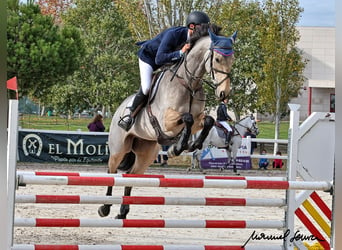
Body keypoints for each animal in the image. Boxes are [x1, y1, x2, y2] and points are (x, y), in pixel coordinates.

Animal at [97, 28, 236, 219]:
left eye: (232, 60)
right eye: (217, 59)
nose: (224, 94)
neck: (189, 83)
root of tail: (119, 108)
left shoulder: (197, 119)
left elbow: (207, 120)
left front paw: (186, 146)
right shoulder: (165, 122)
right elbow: (187, 118)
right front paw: (177, 147)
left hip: (146, 152)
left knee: (132, 175)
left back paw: (123, 212)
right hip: (119, 149)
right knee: (111, 172)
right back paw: (105, 207)